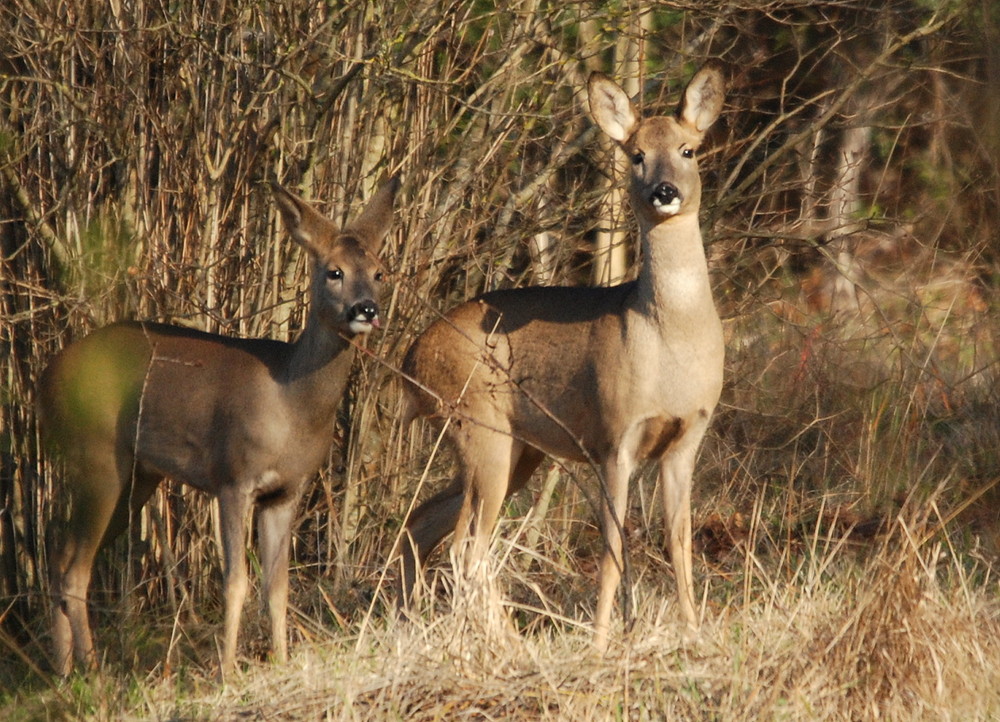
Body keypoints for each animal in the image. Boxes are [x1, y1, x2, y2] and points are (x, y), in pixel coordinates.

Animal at [40, 176, 398, 676]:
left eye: (381, 272)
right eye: (334, 271)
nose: (366, 309)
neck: (291, 402)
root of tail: (45, 377)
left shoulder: (286, 491)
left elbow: (277, 585)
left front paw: (281, 661)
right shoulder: (233, 476)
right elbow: (235, 581)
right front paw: (228, 672)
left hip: (137, 476)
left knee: (59, 552)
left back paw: (64, 669)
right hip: (95, 455)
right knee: (74, 566)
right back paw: (93, 670)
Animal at [398, 64, 728, 648]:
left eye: (688, 150)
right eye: (636, 154)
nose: (664, 191)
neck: (671, 339)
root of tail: (411, 361)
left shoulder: (689, 435)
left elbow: (680, 544)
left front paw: (693, 634)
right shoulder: (614, 436)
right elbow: (613, 549)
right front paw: (599, 642)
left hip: (515, 448)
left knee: (423, 525)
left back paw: (415, 627)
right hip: (477, 425)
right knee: (466, 545)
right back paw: (501, 643)